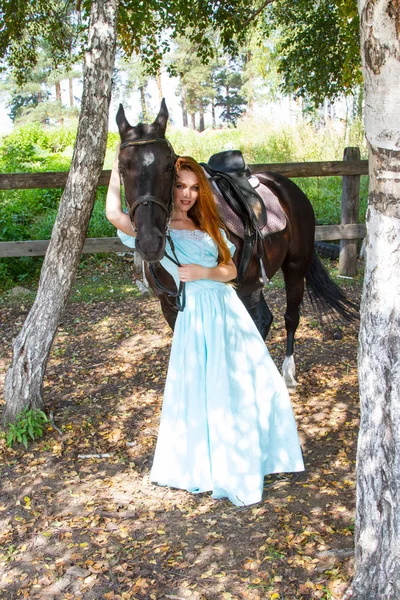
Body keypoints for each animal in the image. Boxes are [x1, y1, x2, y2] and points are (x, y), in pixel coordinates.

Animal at [116, 98, 356, 390]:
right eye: (122, 167)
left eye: (168, 166)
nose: (150, 243)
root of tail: (287, 186)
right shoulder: (169, 304)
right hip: (252, 283)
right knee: (264, 320)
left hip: (294, 267)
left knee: (290, 317)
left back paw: (287, 374)